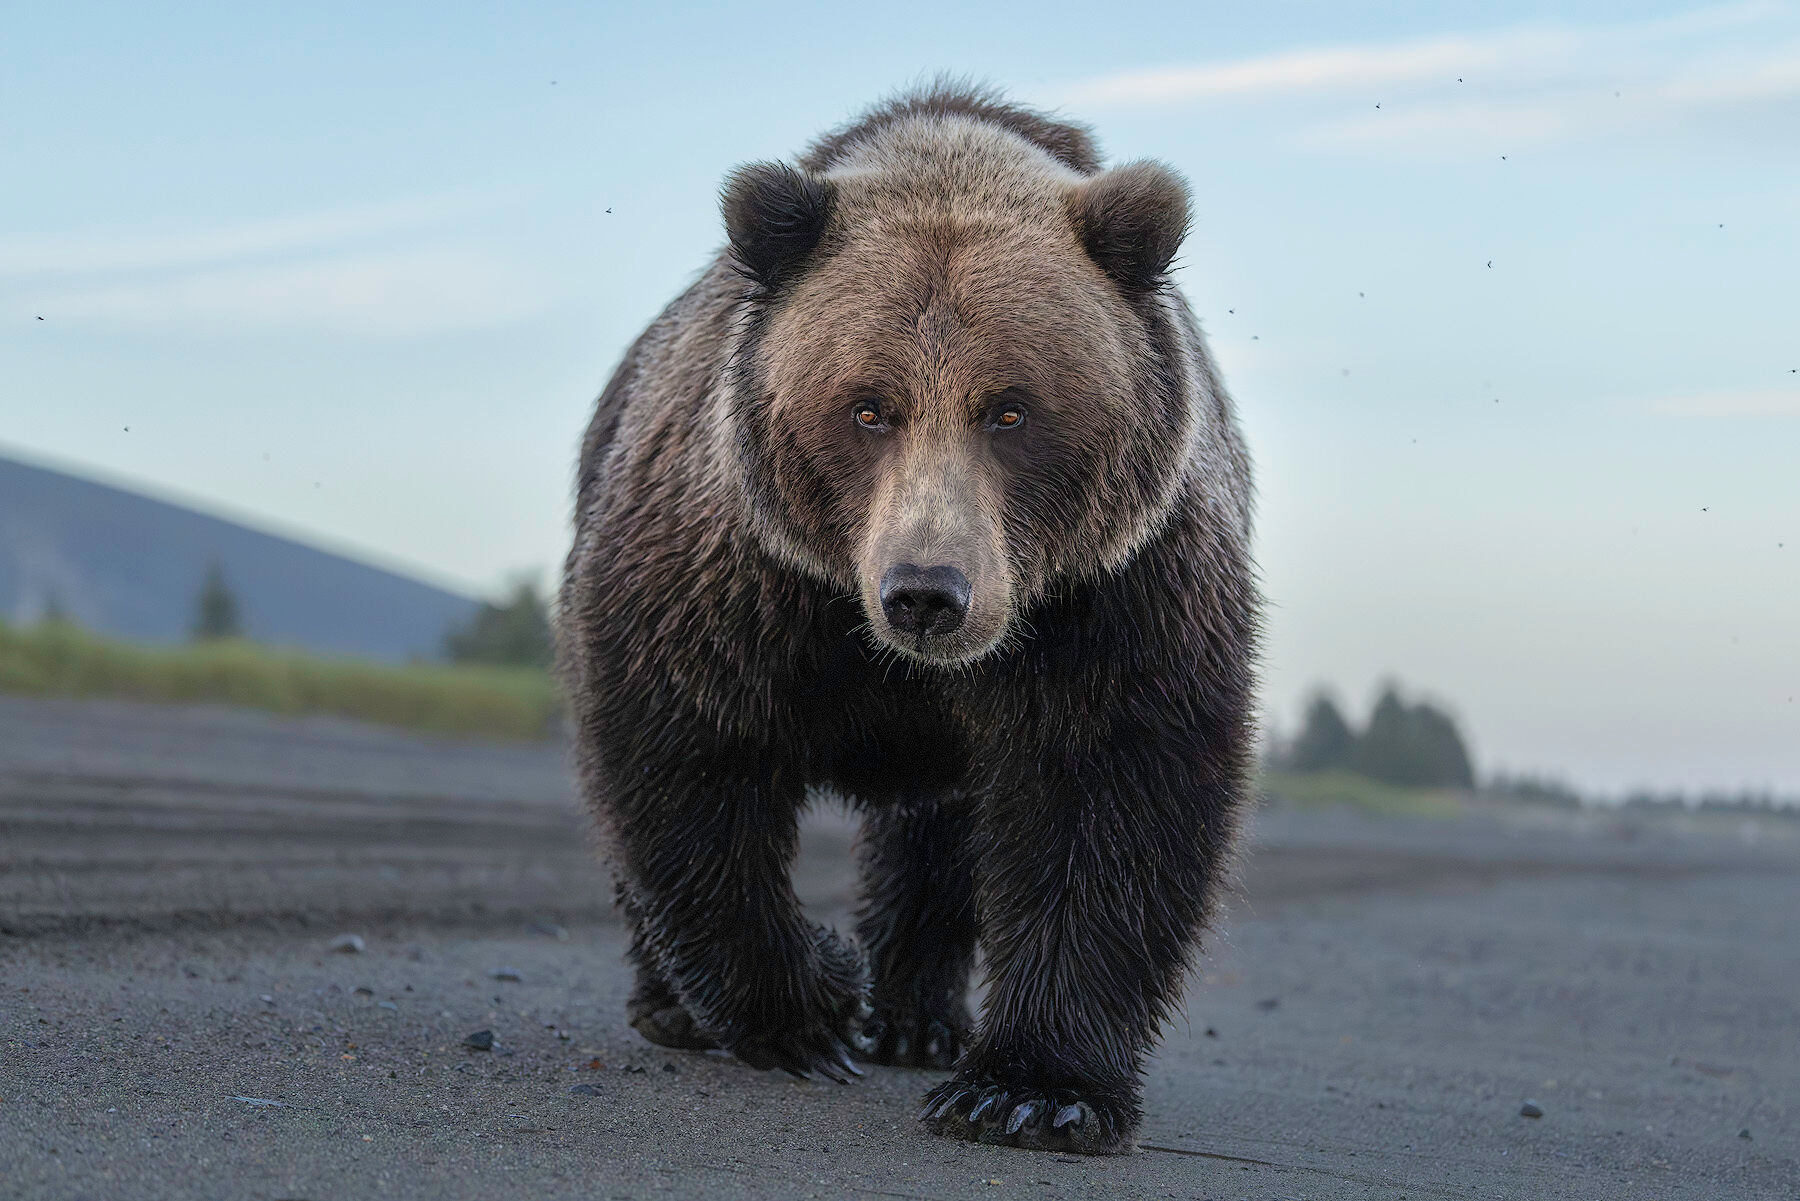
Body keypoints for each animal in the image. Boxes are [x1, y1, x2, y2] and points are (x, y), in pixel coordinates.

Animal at [557, 82, 1258, 1156]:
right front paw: (811, 1007)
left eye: (1011, 409)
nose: (927, 590)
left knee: (940, 837)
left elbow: (1110, 785)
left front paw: (1030, 1089)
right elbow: (685, 744)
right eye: (867, 407)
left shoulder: (1116, 590)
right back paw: (676, 1004)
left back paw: (919, 1018)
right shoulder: (735, 568)